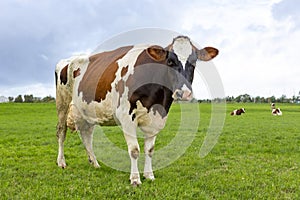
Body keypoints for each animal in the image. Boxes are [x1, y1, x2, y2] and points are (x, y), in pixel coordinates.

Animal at [54, 35, 218, 186]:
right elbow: (134, 150)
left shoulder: (156, 119)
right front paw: (135, 179)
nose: (183, 93)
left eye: (194, 62)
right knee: (61, 131)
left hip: (87, 111)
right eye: (170, 61)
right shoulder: (126, 117)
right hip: (62, 103)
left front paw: (149, 175)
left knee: (86, 135)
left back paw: (94, 163)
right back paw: (61, 162)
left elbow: (150, 150)